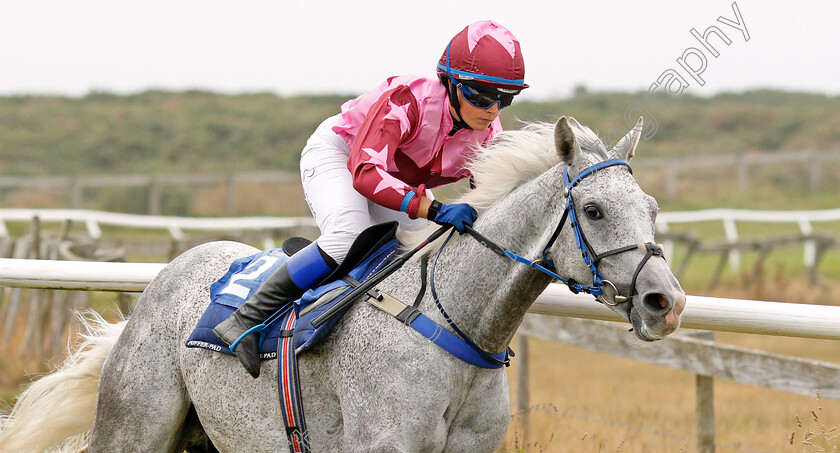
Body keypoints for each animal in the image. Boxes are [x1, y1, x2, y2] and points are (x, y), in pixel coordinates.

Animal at [0, 116, 684, 452]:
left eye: (651, 207)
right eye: (593, 209)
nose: (667, 303)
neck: (452, 328)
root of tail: (168, 276)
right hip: (135, 428)